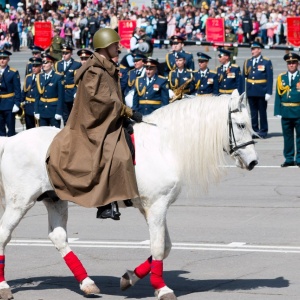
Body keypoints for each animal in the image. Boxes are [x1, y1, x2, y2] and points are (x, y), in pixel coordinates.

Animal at [0, 90, 258, 298]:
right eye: (241, 125)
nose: (254, 162)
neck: (162, 145)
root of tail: (10, 140)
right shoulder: (156, 205)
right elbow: (158, 247)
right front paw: (162, 288)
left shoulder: (152, 207)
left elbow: (164, 246)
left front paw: (130, 278)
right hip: (20, 203)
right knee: (3, 234)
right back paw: (4, 287)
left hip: (54, 200)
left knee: (59, 237)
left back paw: (87, 283)